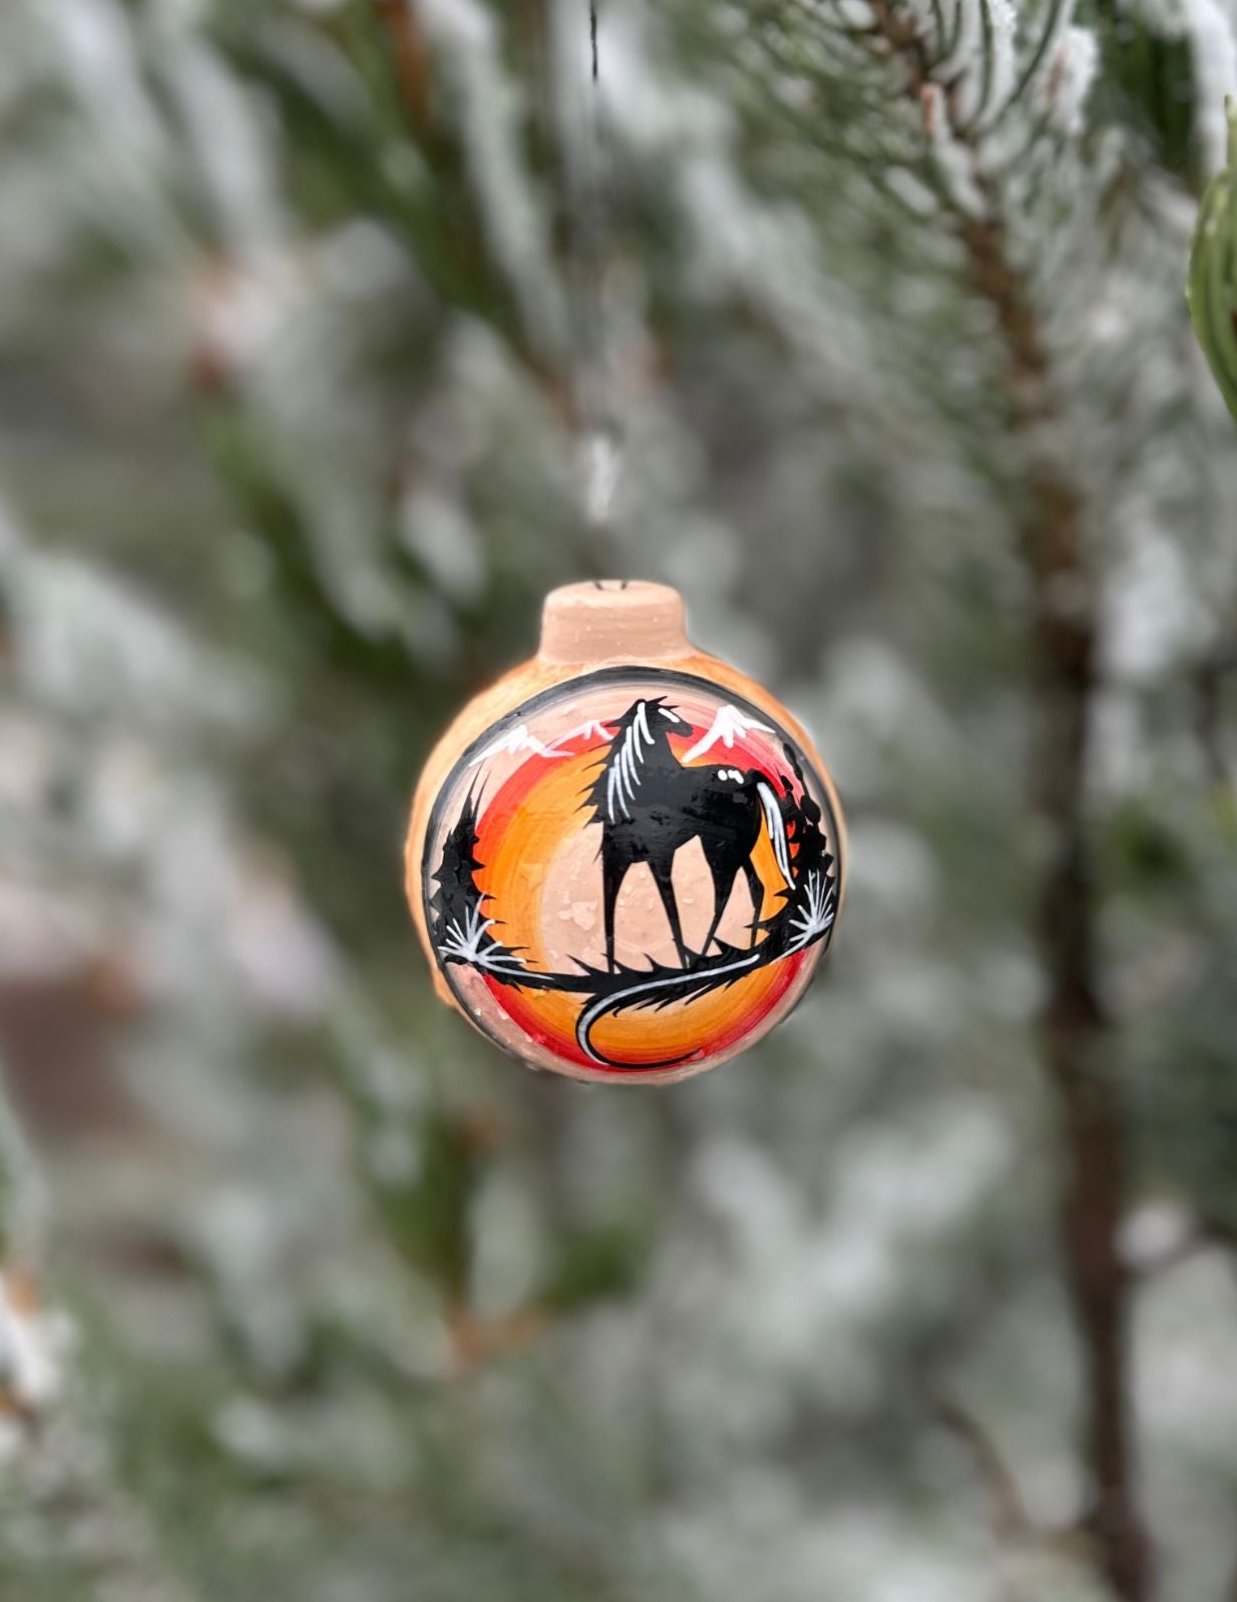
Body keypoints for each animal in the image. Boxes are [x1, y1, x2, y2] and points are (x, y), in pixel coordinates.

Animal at [586, 704, 791, 974]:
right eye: (663, 714)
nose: (688, 729)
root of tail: (746, 780)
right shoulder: (614, 863)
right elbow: (609, 921)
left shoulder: (661, 858)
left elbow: (672, 914)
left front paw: (682, 962)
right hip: (737, 850)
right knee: (755, 887)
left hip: (719, 851)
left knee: (723, 895)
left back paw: (707, 956)